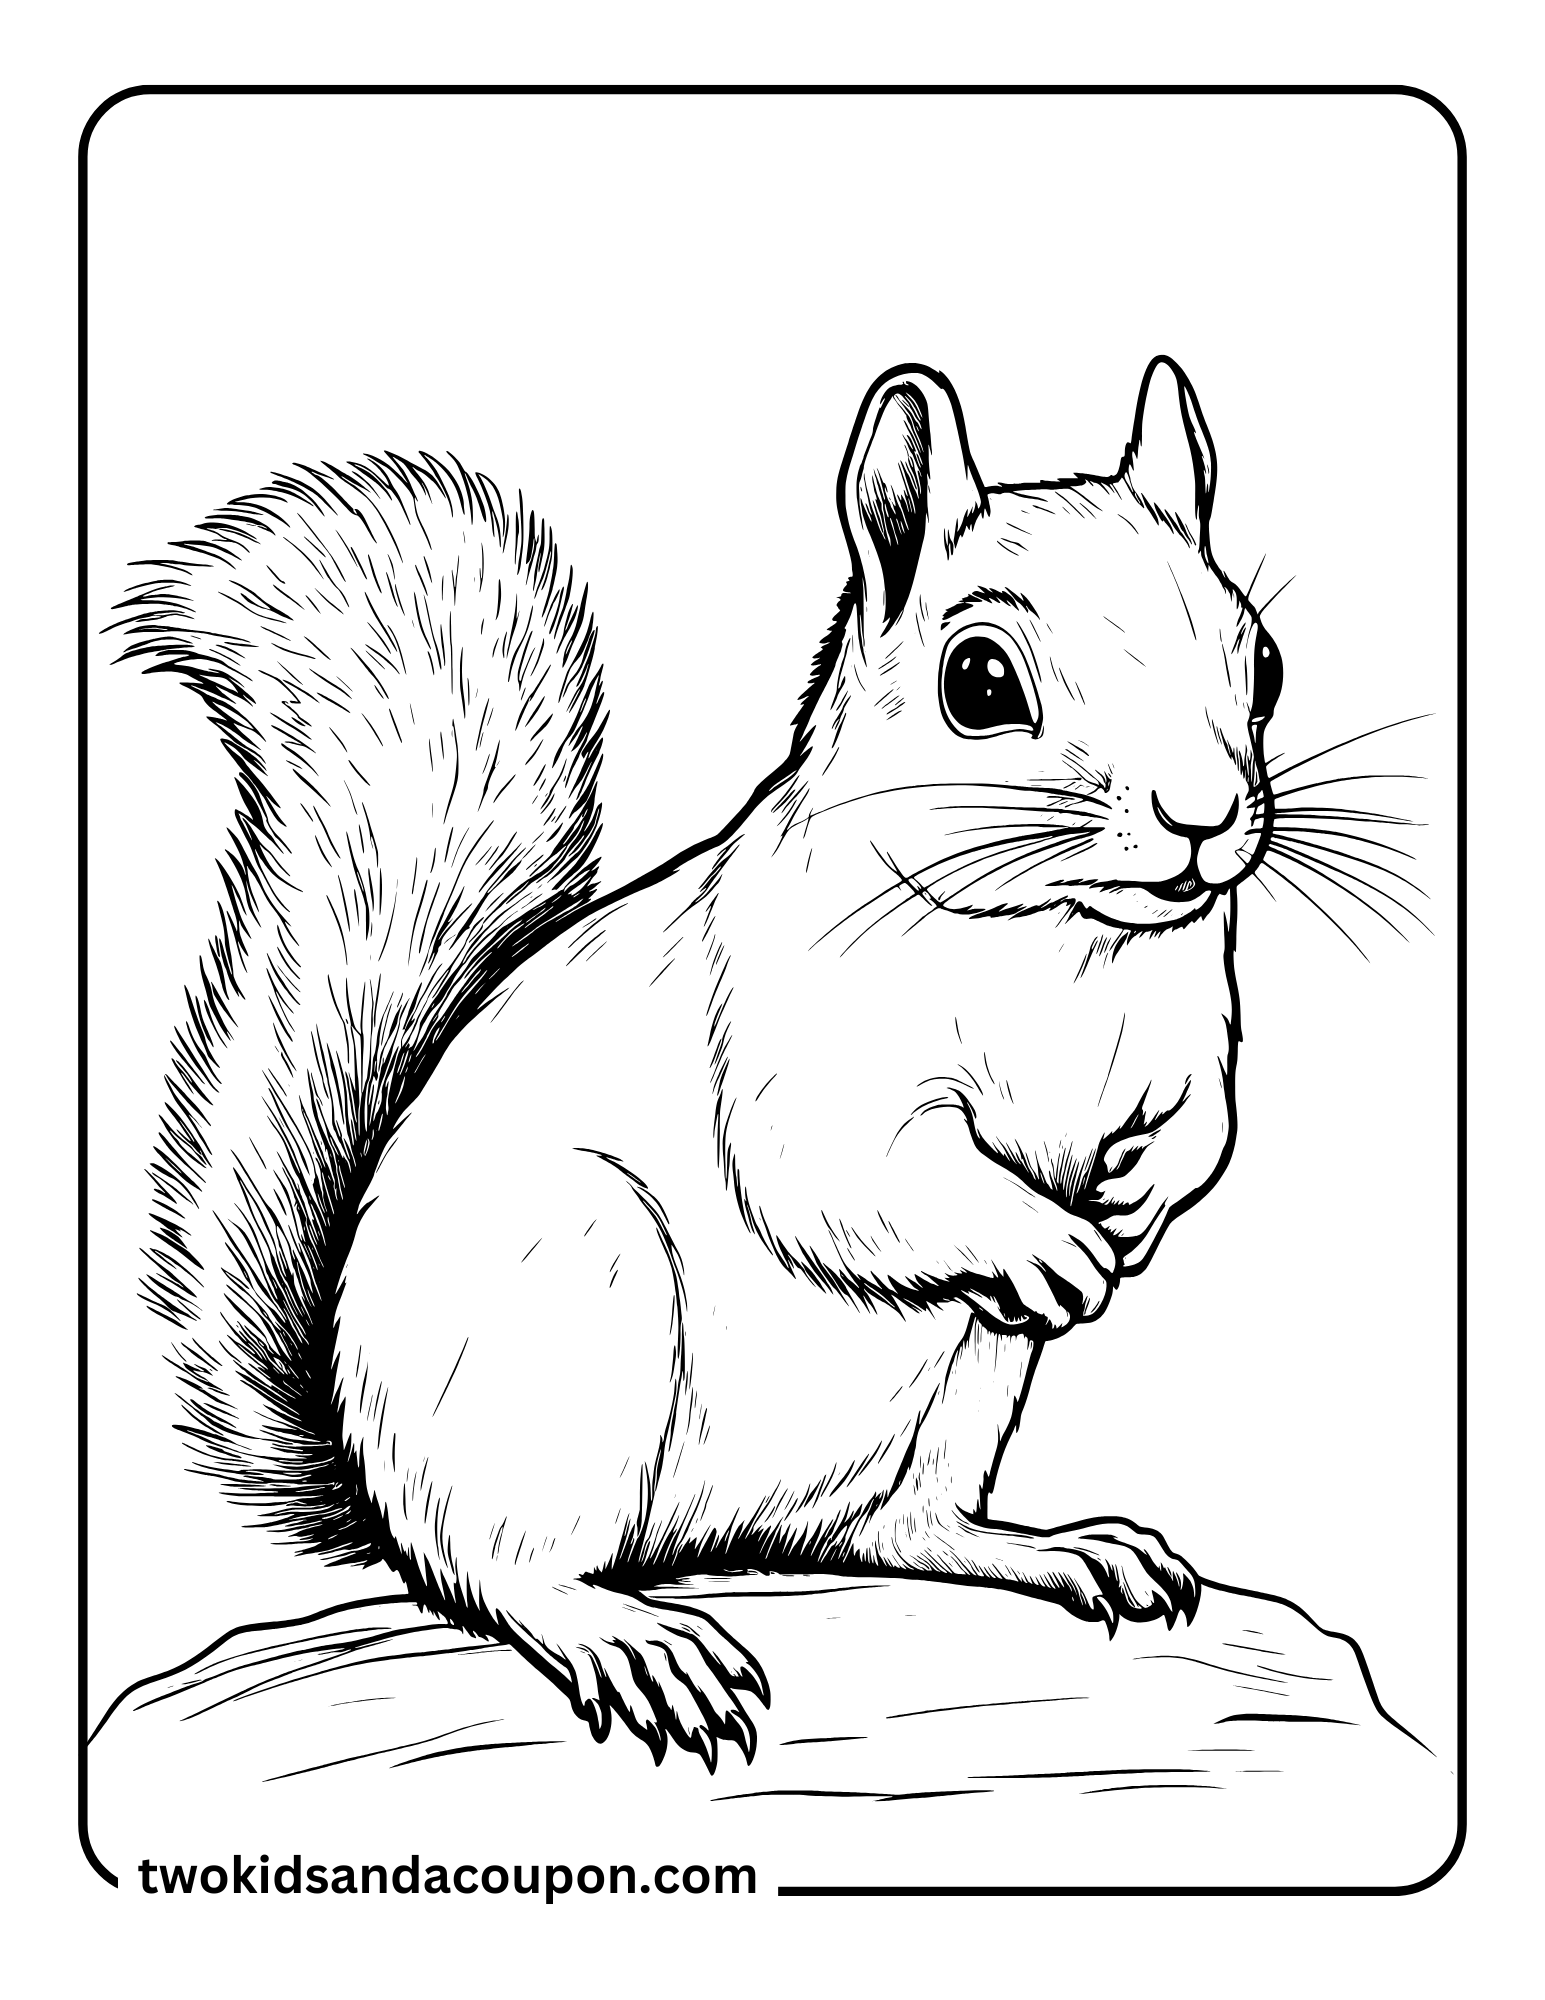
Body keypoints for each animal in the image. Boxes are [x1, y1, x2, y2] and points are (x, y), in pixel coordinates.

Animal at [118, 357, 1283, 1771]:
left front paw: (1141, 1198)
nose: (1204, 820)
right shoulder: (803, 1045)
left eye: (1261, 658)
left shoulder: (1187, 1030)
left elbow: (1206, 1126)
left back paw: (1053, 1550)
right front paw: (1048, 1234)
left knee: (891, 1527)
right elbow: (846, 1175)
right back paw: (624, 1635)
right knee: (499, 1569)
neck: (1063, 943)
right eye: (980, 681)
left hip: (964, 1384)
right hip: (569, 1301)